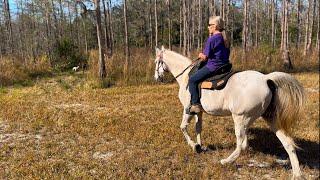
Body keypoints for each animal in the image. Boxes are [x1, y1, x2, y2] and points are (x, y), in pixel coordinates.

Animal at [154, 46, 304, 179]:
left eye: (157, 61)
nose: (157, 78)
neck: (186, 76)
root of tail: (266, 79)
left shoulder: (187, 109)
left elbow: (183, 127)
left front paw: (194, 146)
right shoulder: (199, 111)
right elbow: (198, 128)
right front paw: (200, 146)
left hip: (240, 118)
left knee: (242, 145)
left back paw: (225, 161)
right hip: (269, 118)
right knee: (288, 143)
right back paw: (296, 174)